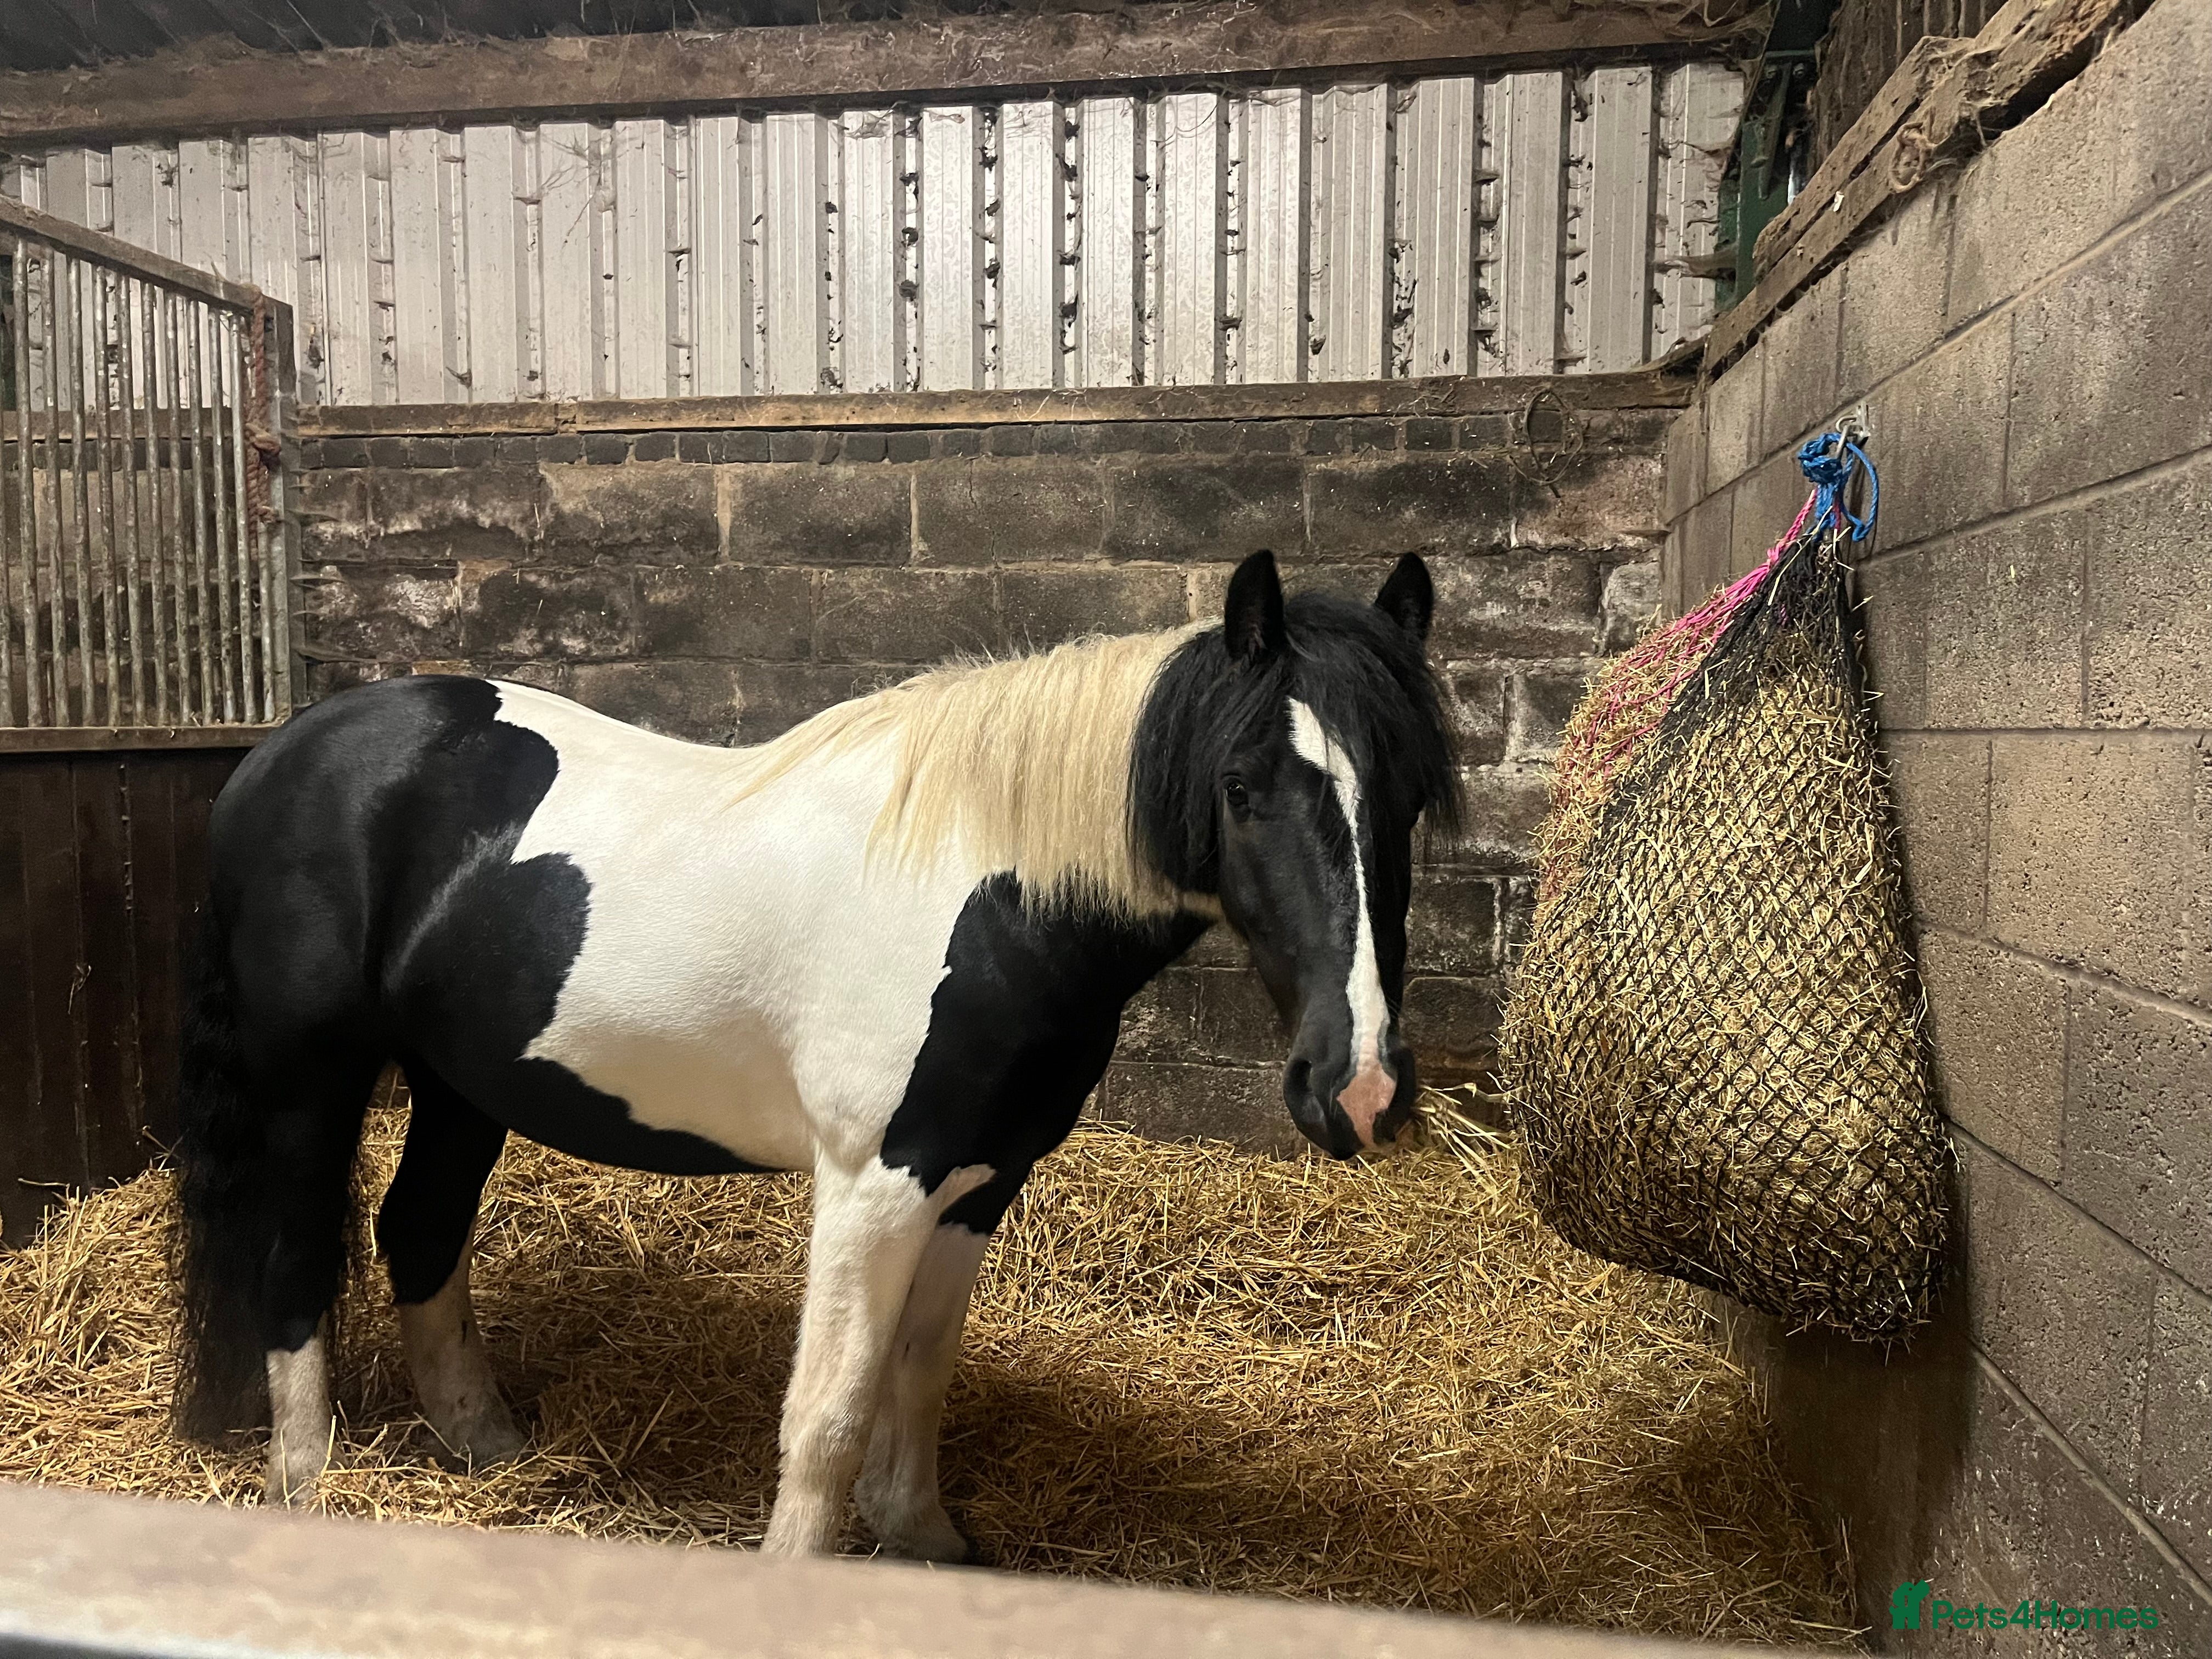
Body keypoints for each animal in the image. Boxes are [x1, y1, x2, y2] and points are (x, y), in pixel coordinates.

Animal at [170, 548, 1460, 1559]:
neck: (987, 893)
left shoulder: (978, 1180)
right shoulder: (872, 1186)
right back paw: (306, 1483)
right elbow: (830, 1412)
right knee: (296, 1258)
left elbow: (921, 1372)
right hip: (310, 1081)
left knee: (422, 1231)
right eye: (1241, 788)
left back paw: (492, 1450)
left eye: (1410, 797)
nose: (1360, 1088)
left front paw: (925, 1536)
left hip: (461, 1083)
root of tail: (280, 752)